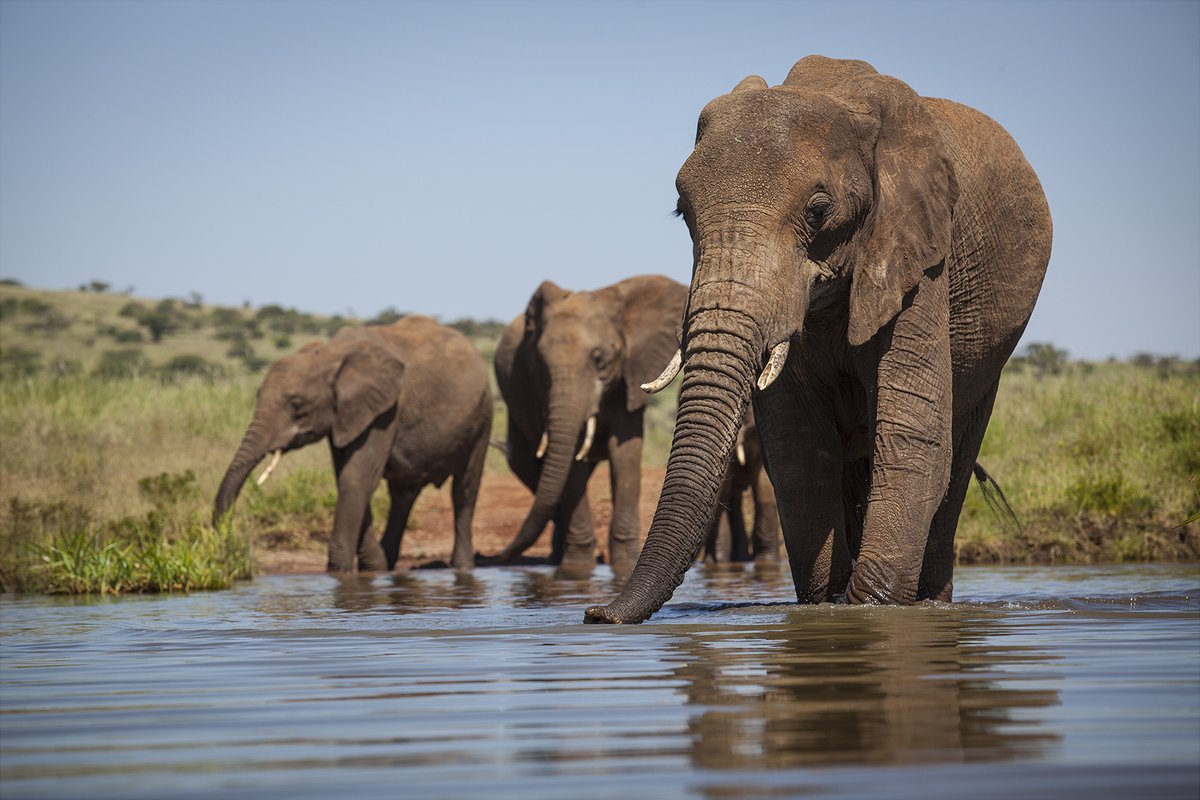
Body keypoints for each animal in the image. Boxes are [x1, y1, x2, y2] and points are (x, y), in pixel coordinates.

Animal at [213, 315, 493, 573]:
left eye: (297, 405)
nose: (225, 548)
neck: (330, 353)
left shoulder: (385, 411)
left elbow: (356, 477)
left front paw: (340, 571)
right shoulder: (345, 416)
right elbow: (348, 477)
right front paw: (372, 567)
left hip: (482, 415)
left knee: (464, 490)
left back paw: (462, 567)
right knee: (403, 496)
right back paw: (388, 563)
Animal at [492, 274, 688, 577]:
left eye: (598, 359)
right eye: (540, 364)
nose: (498, 558)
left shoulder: (627, 379)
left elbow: (625, 454)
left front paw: (624, 566)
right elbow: (572, 464)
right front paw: (577, 571)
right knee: (528, 465)